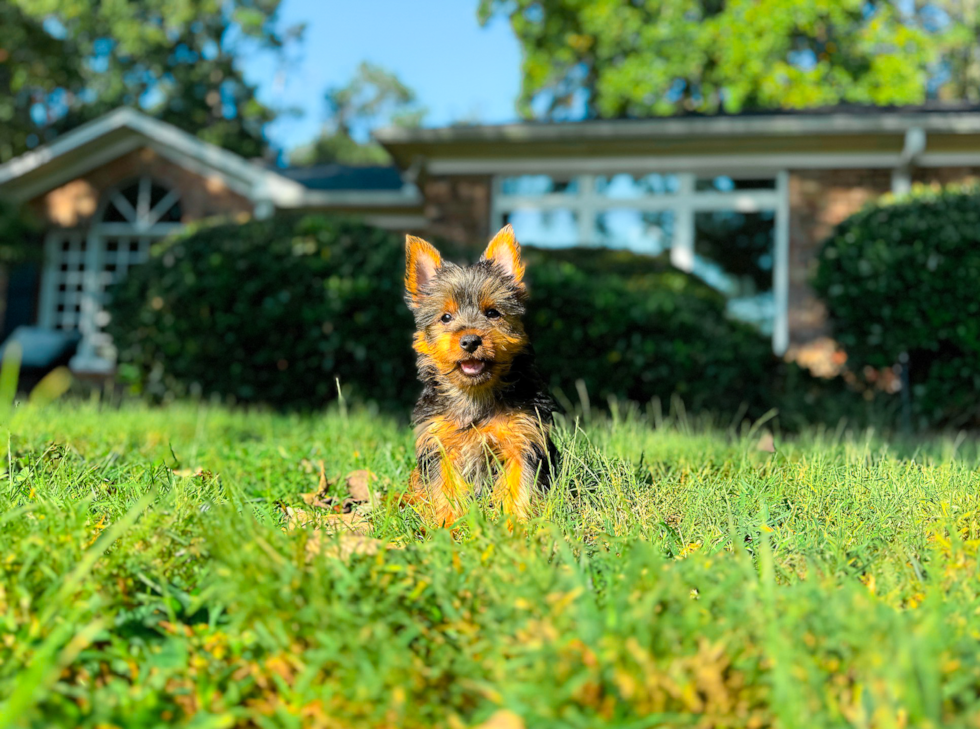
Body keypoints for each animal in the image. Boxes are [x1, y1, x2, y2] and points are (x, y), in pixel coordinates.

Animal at [406, 223, 560, 524]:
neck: (474, 393)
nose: (470, 341)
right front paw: (447, 525)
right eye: (445, 318)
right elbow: (444, 487)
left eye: (493, 313)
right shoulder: (439, 442)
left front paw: (515, 525)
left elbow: (519, 484)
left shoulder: (523, 437)